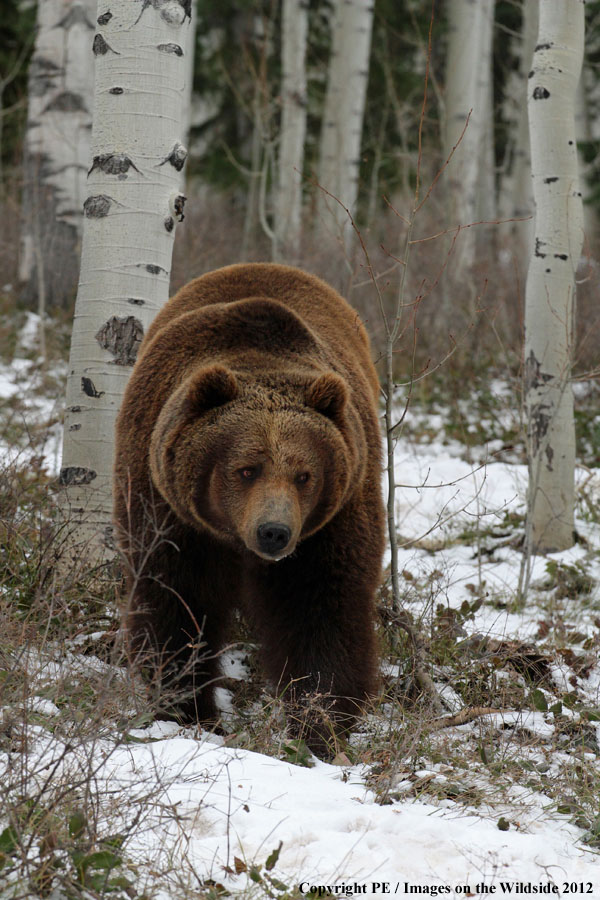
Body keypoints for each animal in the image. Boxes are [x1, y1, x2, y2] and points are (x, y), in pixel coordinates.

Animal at [113, 262, 384, 752]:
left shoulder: (331, 521)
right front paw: (188, 710)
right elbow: (177, 603)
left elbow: (320, 608)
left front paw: (320, 720)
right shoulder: (169, 512)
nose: (273, 531)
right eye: (245, 469)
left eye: (304, 474)